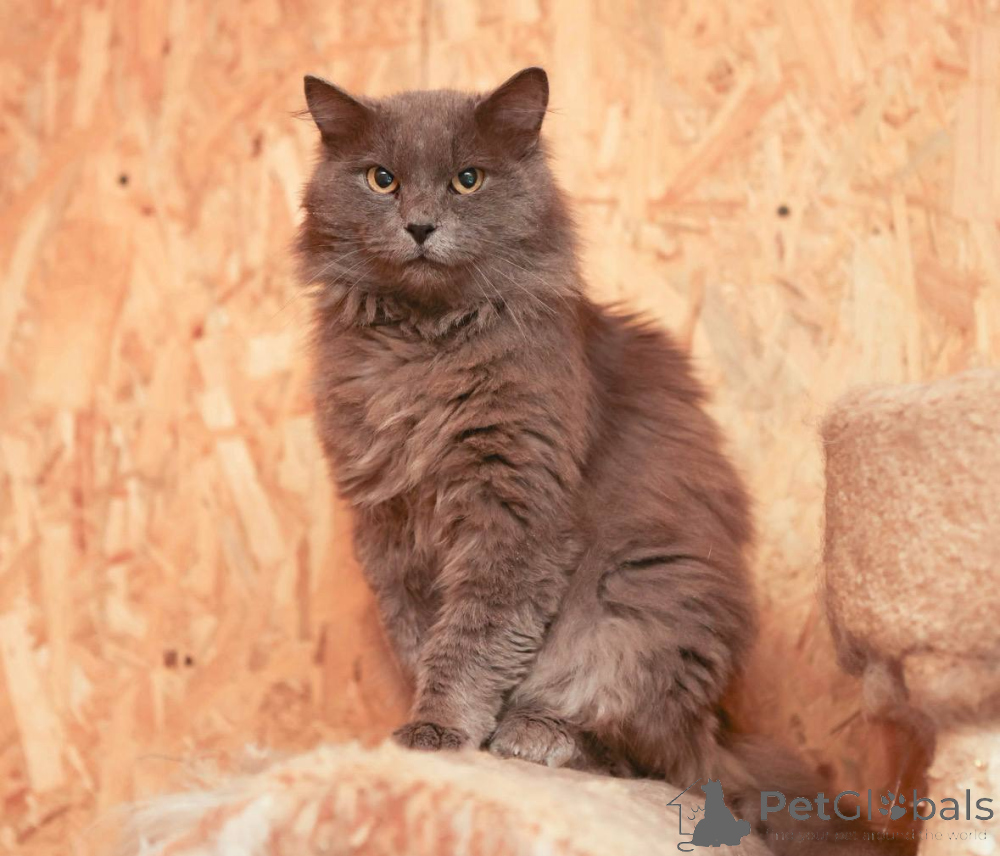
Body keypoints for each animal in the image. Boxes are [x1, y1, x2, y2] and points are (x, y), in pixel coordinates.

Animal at [297, 67, 910, 856]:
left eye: (468, 179)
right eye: (382, 179)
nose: (421, 226)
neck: (421, 350)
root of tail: (717, 731)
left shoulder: (514, 509)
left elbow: (472, 638)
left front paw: (441, 730)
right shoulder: (390, 525)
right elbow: (421, 637)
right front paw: (424, 726)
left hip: (633, 606)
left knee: (635, 752)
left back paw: (534, 736)